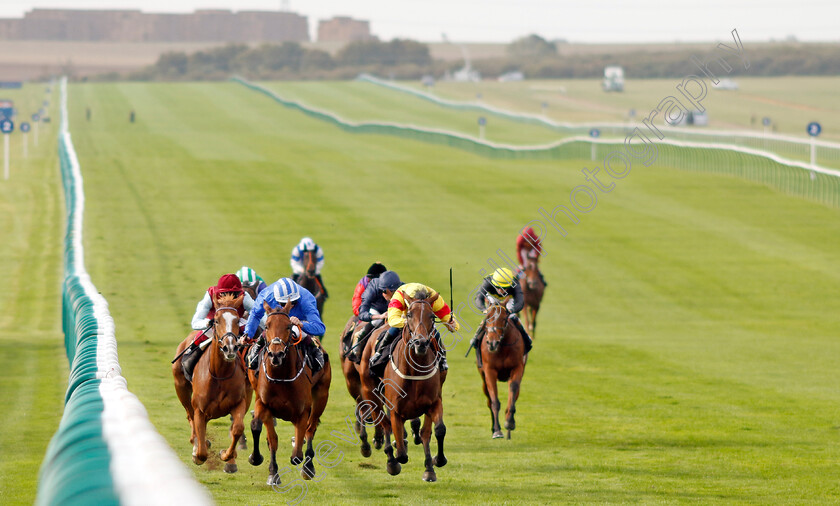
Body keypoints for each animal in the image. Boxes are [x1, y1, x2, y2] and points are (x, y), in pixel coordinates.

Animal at [171, 292, 249, 474]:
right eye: (217, 320)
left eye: (237, 320)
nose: (230, 348)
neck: (219, 374)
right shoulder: (200, 409)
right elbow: (201, 453)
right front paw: (197, 452)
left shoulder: (239, 402)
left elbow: (237, 428)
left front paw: (226, 456)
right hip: (181, 388)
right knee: (190, 416)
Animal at [246, 302, 332, 484]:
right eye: (267, 326)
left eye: (288, 326)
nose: (276, 354)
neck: (281, 377)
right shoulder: (263, 404)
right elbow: (263, 432)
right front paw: (269, 469)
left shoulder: (302, 411)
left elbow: (297, 454)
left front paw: (302, 460)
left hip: (321, 396)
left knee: (311, 428)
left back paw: (308, 467)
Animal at [378, 292, 450, 482]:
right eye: (409, 314)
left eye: (432, 316)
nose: (420, 343)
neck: (415, 370)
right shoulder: (395, 410)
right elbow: (401, 452)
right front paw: (395, 457)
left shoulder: (434, 402)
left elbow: (438, 430)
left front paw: (437, 461)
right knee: (385, 424)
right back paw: (391, 459)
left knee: (425, 432)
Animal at [476, 304, 528, 438]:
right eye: (487, 317)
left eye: (504, 319)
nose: (492, 343)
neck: (502, 347)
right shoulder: (489, 370)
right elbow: (494, 401)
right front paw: (497, 430)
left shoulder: (517, 368)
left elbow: (513, 390)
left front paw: (509, 421)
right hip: (483, 377)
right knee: (489, 399)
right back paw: (495, 428)